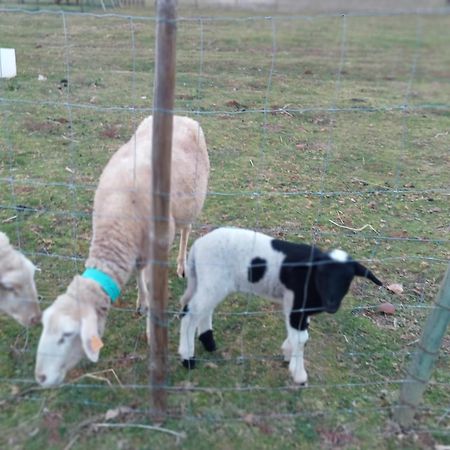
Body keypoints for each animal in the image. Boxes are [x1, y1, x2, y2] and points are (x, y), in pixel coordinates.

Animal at [36, 116, 210, 386]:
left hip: (189, 205)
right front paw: (142, 302)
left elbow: (152, 287)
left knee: (186, 231)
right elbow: (140, 277)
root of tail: (183, 117)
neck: (117, 221)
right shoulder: (136, 250)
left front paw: (151, 330)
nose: (41, 377)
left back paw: (182, 264)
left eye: (68, 335)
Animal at [178, 227, 382, 384]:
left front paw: (287, 352)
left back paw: (208, 342)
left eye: (348, 280)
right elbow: (302, 338)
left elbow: (300, 334)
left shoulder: (297, 307)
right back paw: (188, 358)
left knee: (203, 311)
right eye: (322, 274)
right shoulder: (297, 306)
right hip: (214, 281)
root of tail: (197, 246)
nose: (332, 305)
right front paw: (299, 374)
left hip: (211, 283)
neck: (311, 279)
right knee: (189, 315)